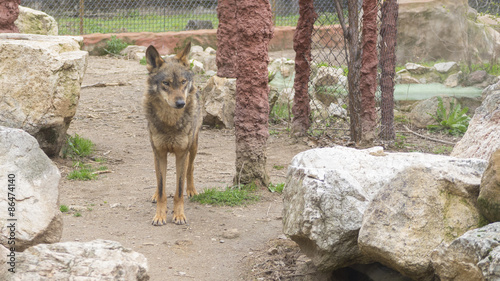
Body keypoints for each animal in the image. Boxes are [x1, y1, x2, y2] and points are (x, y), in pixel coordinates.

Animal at [143, 42, 201, 225]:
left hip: (193, 146)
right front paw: (160, 215)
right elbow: (162, 187)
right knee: (157, 177)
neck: (170, 122)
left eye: (183, 82)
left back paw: (192, 190)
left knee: (191, 168)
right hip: (155, 152)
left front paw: (179, 215)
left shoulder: (182, 153)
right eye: (166, 83)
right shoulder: (160, 153)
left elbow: (178, 190)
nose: (181, 103)